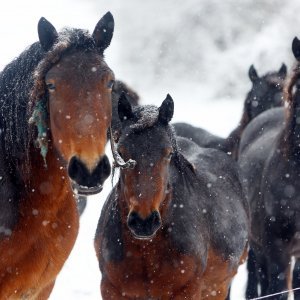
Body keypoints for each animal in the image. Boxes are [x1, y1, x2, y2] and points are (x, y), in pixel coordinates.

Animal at [94, 92, 248, 298]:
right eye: (121, 152)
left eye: (167, 154)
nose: (143, 221)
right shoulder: (111, 289)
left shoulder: (188, 290)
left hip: (217, 289)